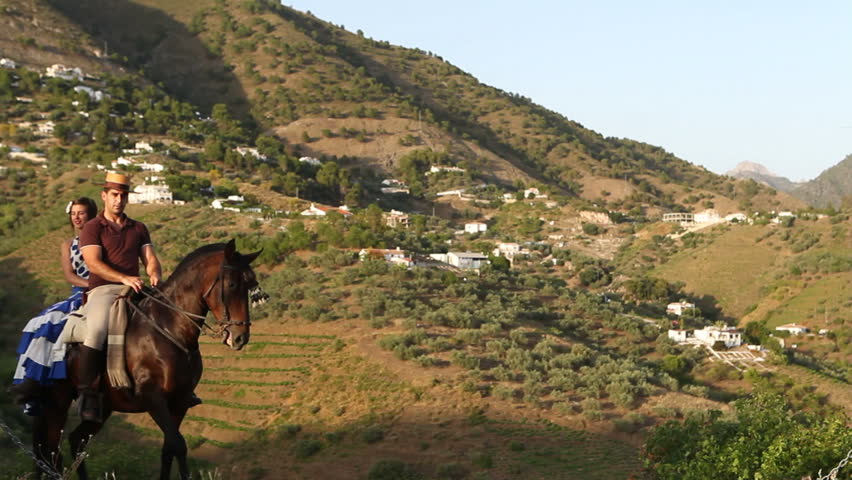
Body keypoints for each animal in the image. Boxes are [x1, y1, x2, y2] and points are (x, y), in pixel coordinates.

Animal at [29, 239, 261, 480]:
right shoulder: (153, 398)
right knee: (52, 451)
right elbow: (178, 445)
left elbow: (169, 449)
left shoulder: (180, 401)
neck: (169, 329)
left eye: (250, 285)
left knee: (76, 440)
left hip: (103, 408)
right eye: (232, 285)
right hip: (57, 403)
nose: (240, 337)